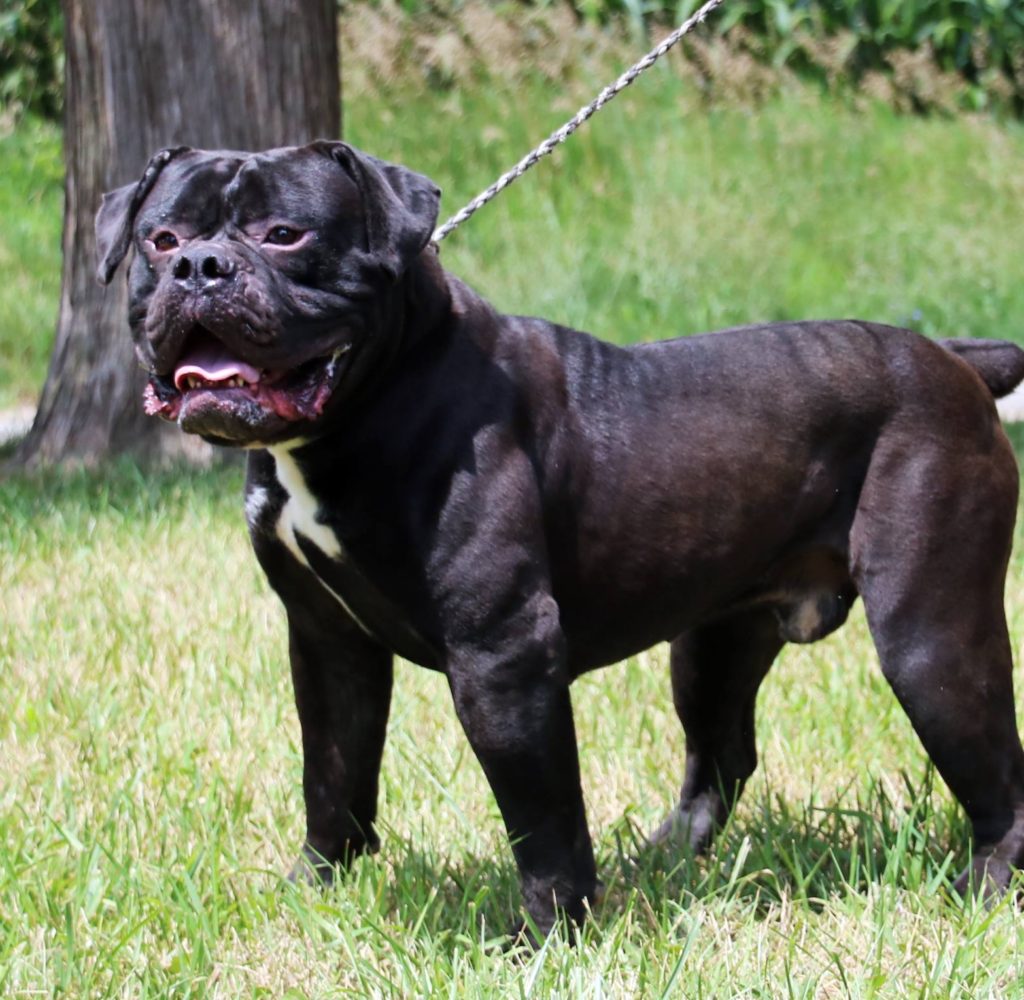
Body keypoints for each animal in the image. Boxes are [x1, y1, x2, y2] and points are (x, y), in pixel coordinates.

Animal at [97, 140, 1024, 937]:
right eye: (160, 238)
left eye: (284, 235)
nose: (198, 266)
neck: (377, 395)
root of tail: (954, 360)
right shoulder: (327, 641)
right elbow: (333, 774)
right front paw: (317, 889)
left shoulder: (503, 656)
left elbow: (541, 819)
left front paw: (546, 936)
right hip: (714, 642)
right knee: (720, 755)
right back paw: (663, 864)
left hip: (930, 635)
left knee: (994, 772)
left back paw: (983, 892)